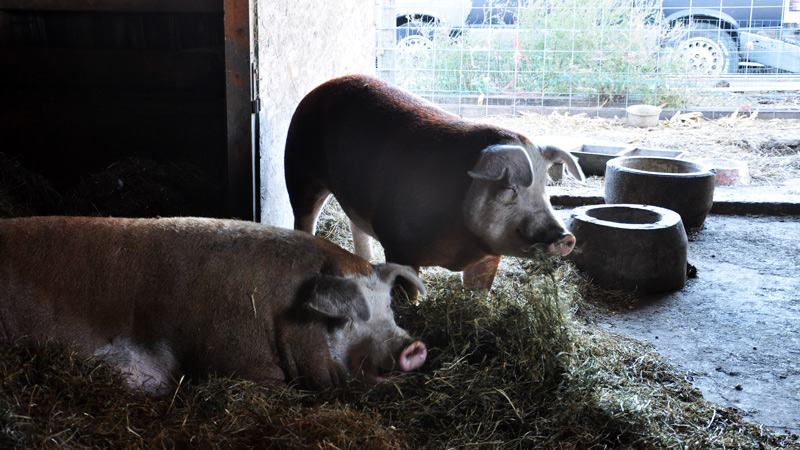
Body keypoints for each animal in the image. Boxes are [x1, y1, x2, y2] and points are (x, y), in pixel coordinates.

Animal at [284, 74, 585, 293]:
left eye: (545, 188)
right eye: (510, 188)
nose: (566, 237)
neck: (460, 243)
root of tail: (321, 87)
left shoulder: (489, 256)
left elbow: (479, 288)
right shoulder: (397, 244)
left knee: (356, 226)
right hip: (298, 171)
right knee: (304, 218)